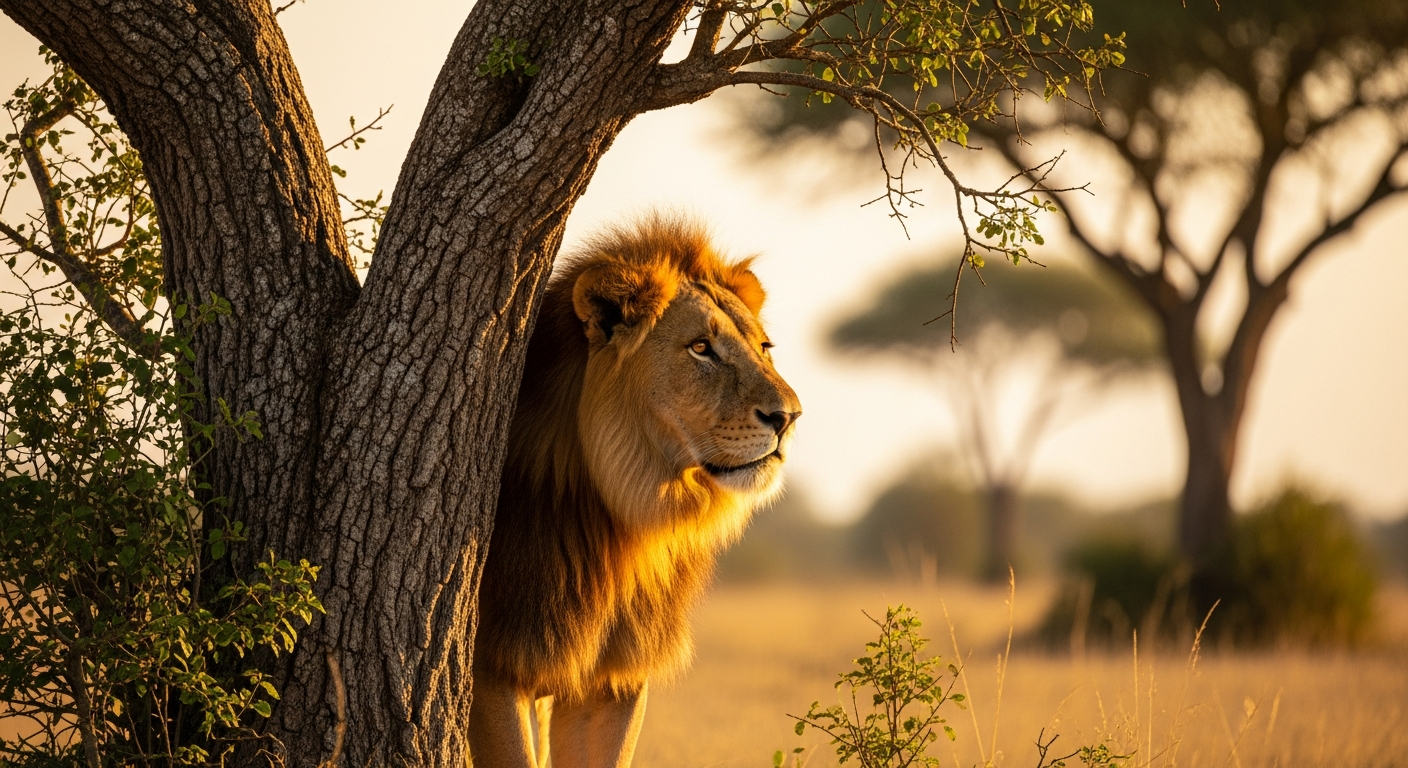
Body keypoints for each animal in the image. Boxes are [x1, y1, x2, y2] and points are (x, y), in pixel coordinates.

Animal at [468, 217, 801, 767]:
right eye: (701, 348)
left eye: (764, 348)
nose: (789, 417)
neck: (623, 524)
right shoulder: (492, 667)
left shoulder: (613, 680)